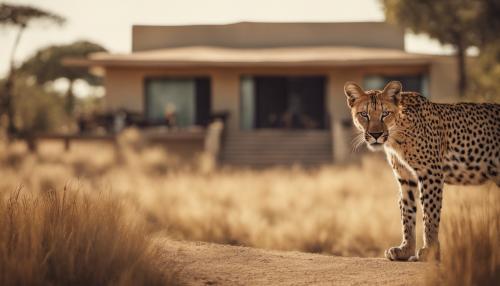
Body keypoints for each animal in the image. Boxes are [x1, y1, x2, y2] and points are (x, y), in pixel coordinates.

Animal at [344, 80, 500, 262]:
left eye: (385, 114)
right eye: (364, 114)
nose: (376, 134)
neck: (396, 134)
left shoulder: (430, 173)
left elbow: (430, 212)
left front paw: (430, 250)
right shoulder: (405, 177)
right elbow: (407, 211)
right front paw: (406, 249)